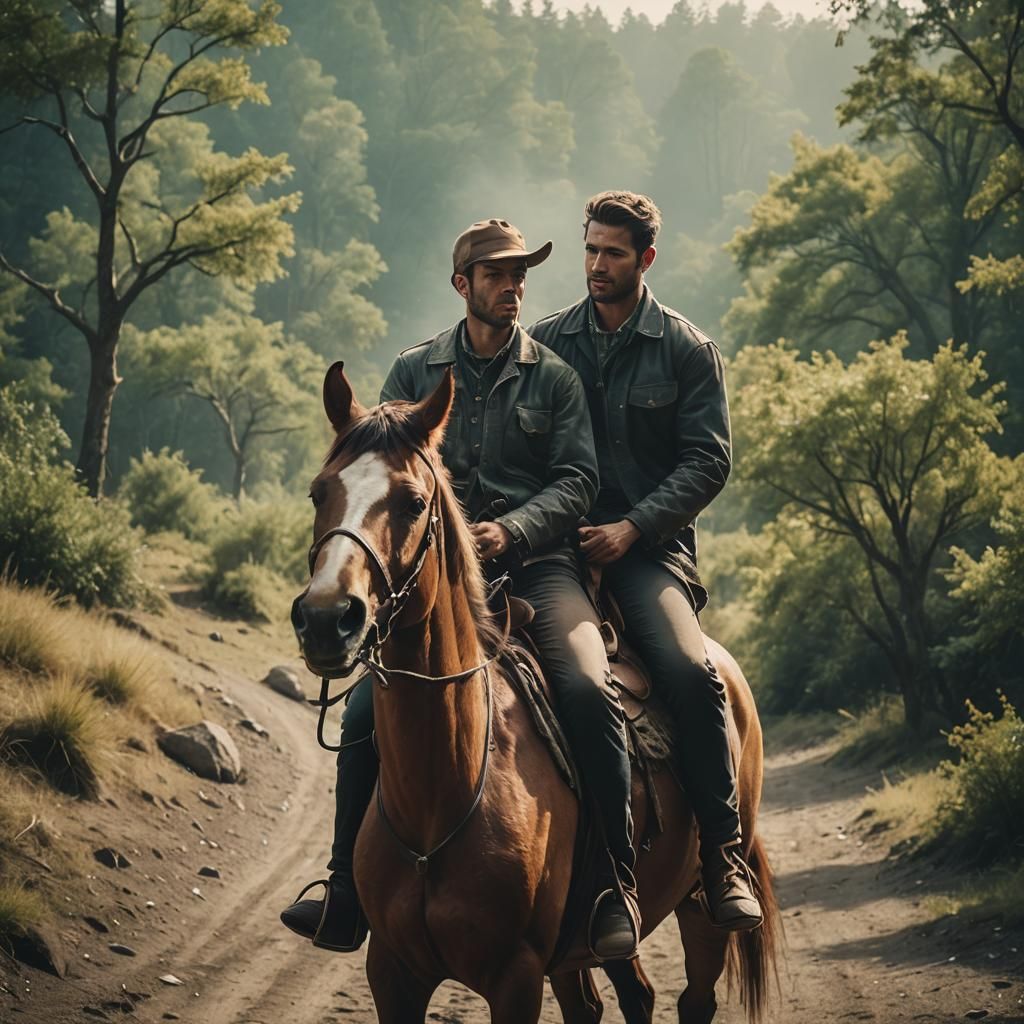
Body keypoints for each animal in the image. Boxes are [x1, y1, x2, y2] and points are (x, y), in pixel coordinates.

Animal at [290, 361, 779, 1024]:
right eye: (320, 492)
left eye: (413, 502)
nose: (325, 618)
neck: (443, 797)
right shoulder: (392, 976)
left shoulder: (515, 979)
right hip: (582, 951)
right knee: (623, 996)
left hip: (700, 909)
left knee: (693, 994)